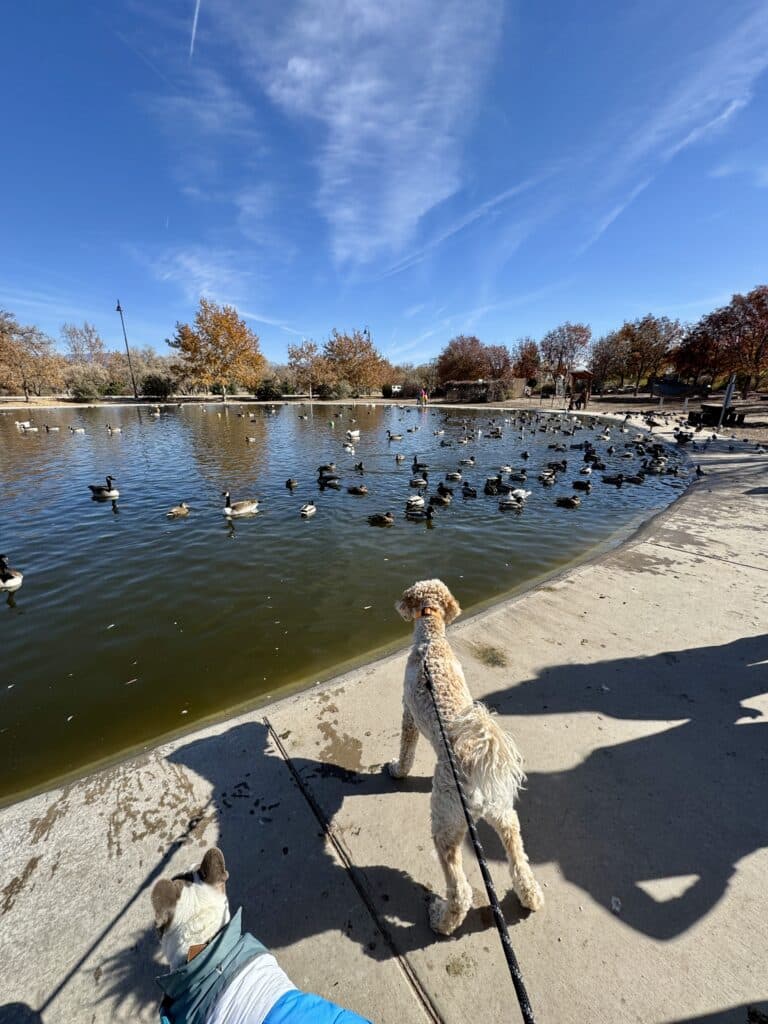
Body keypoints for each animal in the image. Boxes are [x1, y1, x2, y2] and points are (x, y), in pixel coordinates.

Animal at [387, 581, 544, 933]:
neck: (431, 640)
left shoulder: (407, 714)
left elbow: (406, 750)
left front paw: (396, 770)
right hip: (503, 813)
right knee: (518, 858)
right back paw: (530, 896)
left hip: (445, 822)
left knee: (460, 890)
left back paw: (441, 921)